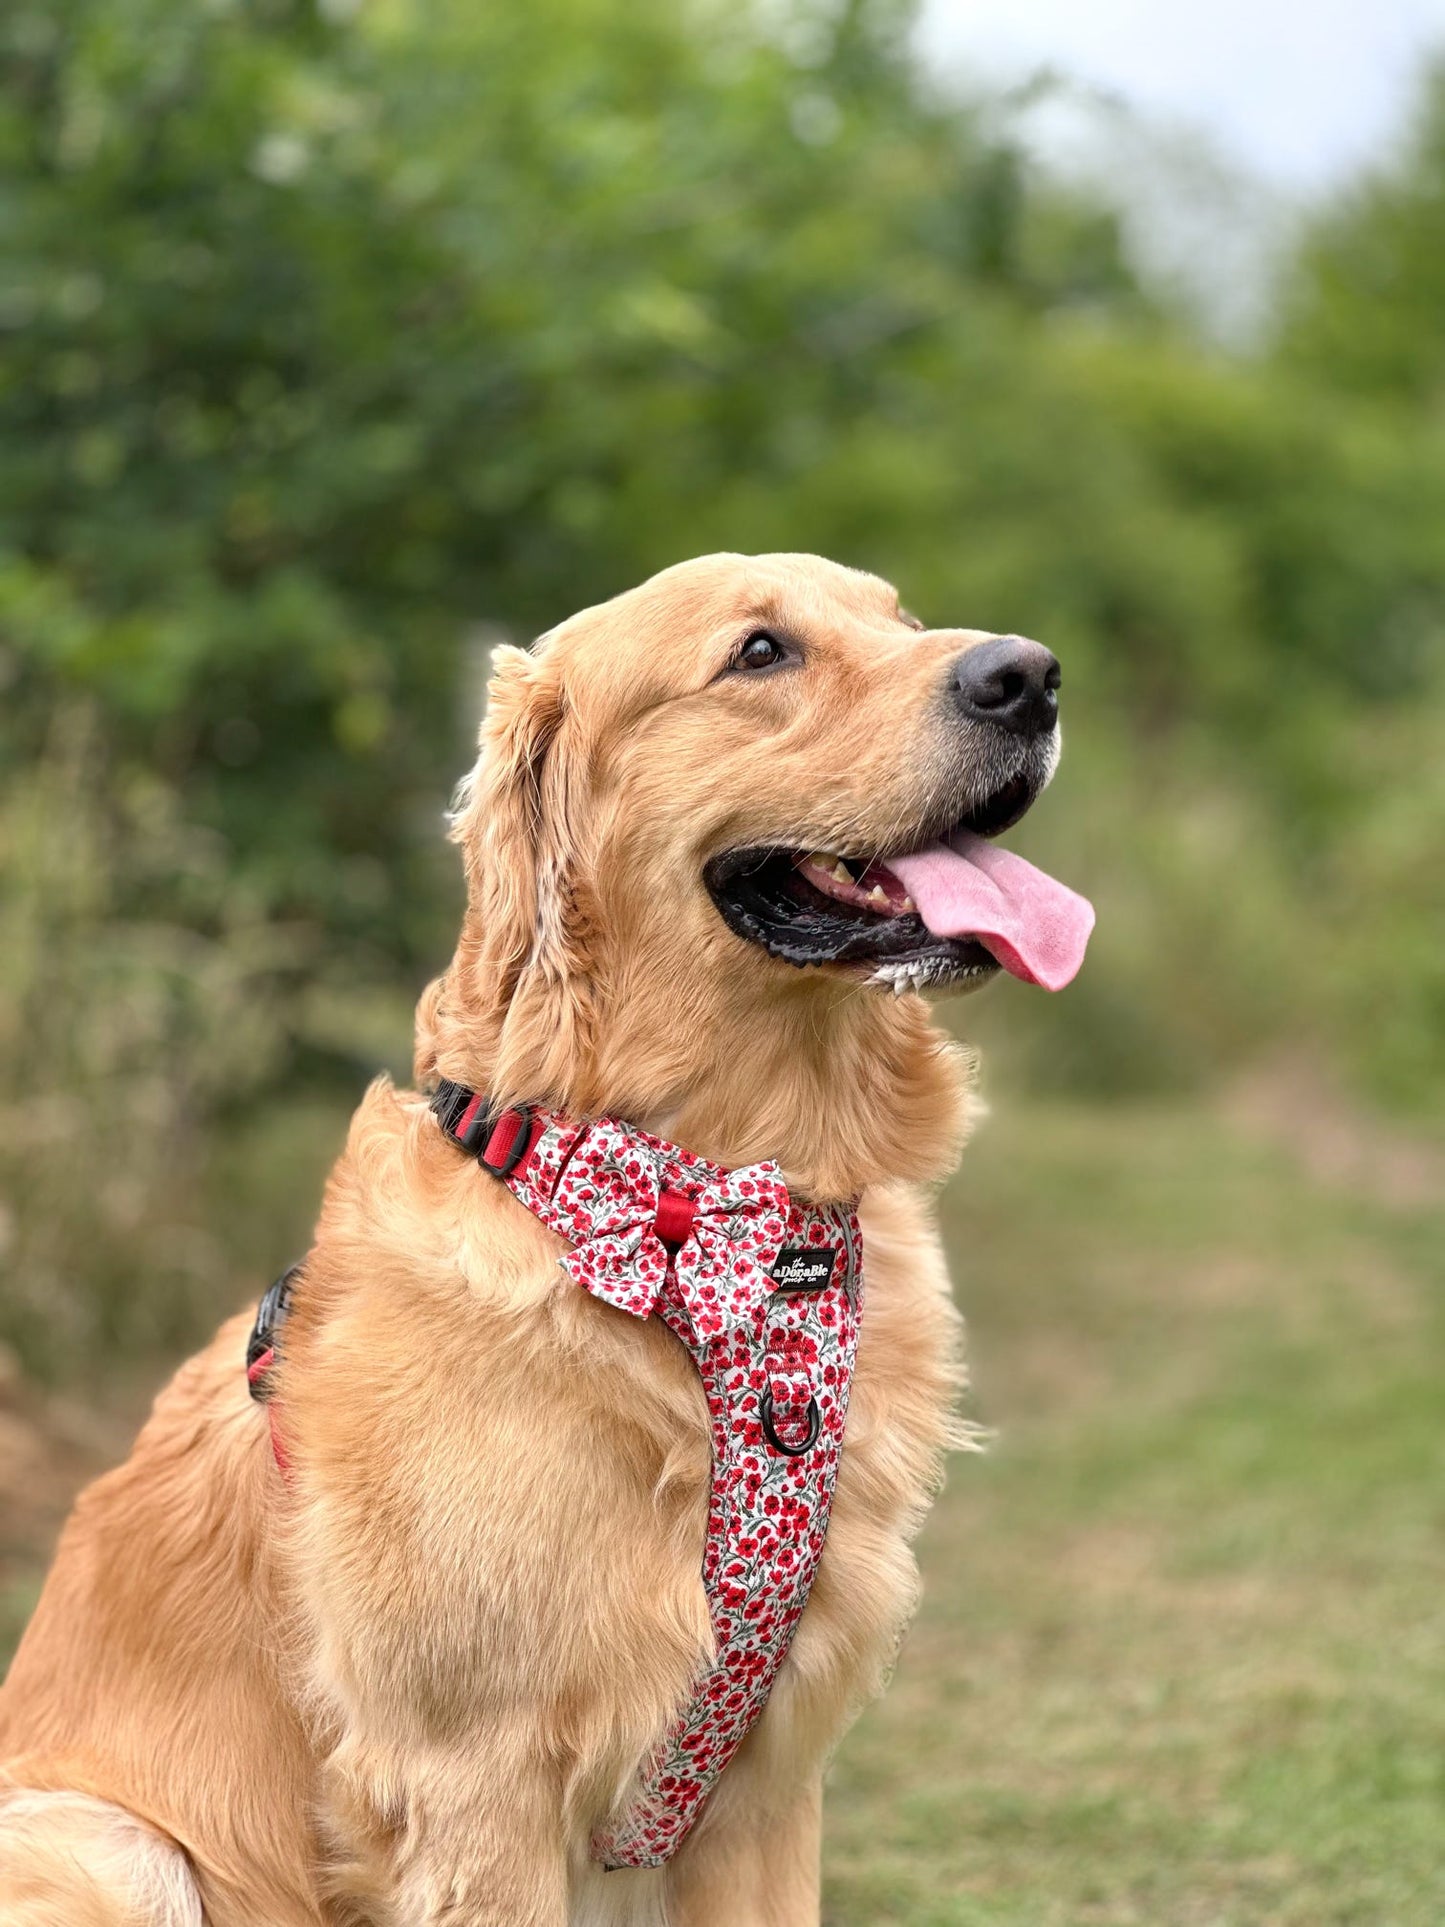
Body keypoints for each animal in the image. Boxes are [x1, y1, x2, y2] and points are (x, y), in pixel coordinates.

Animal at [0, 552, 1091, 1925]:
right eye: (758, 652)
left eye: (898, 616)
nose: (1030, 675)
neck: (702, 1206)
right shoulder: (475, 1782)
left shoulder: (765, 1789)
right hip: (113, 1845)